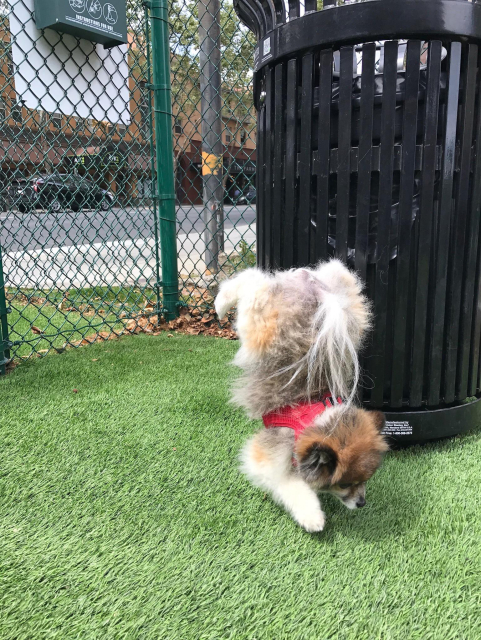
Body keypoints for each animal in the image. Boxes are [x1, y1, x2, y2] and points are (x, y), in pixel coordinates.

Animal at [216, 258, 388, 532]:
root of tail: (316, 291)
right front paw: (313, 517)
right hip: (260, 326)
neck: (317, 419)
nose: (361, 503)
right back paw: (221, 304)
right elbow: (291, 485)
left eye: (365, 480)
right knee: (251, 280)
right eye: (344, 484)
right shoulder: (268, 457)